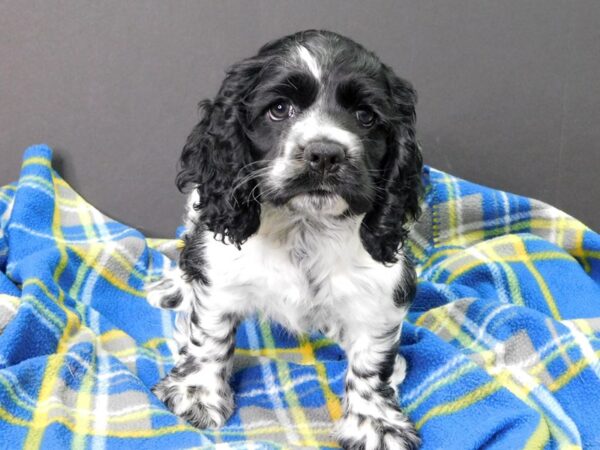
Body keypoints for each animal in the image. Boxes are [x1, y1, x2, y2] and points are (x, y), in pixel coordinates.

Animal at [148, 29, 424, 448]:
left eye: (366, 117)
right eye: (279, 109)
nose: (325, 154)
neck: (305, 228)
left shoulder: (382, 290)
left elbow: (371, 361)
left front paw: (376, 423)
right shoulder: (220, 272)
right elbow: (211, 334)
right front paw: (197, 392)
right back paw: (174, 288)